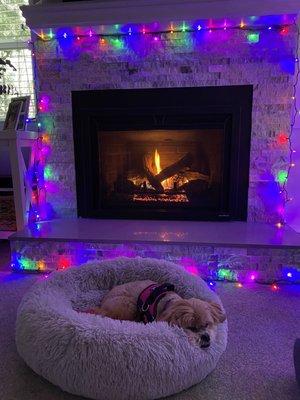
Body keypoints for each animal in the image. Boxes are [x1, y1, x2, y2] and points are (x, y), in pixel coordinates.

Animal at [86, 280, 225, 348]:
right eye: (191, 328)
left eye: (207, 324)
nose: (206, 337)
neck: (171, 303)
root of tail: (103, 303)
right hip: (128, 306)